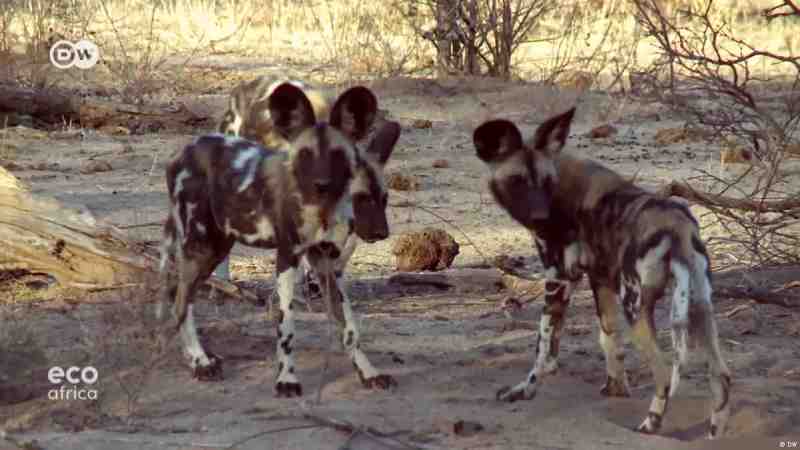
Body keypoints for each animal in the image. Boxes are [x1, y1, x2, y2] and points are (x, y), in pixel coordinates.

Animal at [158, 82, 400, 396]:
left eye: (382, 199)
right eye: (360, 198)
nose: (382, 233)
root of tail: (184, 150)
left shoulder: (326, 264)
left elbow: (349, 327)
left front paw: (368, 372)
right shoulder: (288, 256)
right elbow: (286, 326)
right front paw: (286, 380)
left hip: (216, 246)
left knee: (179, 295)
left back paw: (196, 356)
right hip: (200, 246)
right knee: (181, 301)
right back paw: (200, 363)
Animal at [476, 107, 732, 438]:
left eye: (545, 181)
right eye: (517, 180)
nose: (540, 217)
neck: (562, 186)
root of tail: (677, 226)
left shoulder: (559, 279)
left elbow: (543, 345)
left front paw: (526, 389)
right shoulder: (599, 280)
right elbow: (607, 338)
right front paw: (614, 389)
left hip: (636, 308)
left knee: (664, 373)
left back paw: (650, 424)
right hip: (700, 306)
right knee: (721, 376)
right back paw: (714, 434)